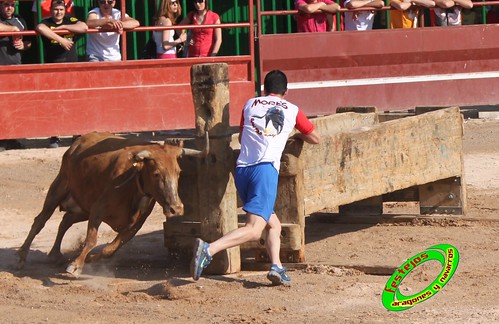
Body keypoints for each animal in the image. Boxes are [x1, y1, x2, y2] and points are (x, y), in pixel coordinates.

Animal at [17, 132, 209, 276]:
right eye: (156, 173)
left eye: (178, 172)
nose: (176, 209)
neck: (134, 180)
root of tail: (78, 142)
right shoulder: (98, 209)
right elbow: (91, 240)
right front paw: (76, 265)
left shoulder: (135, 224)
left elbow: (110, 249)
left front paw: (89, 260)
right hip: (59, 187)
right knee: (40, 220)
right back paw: (22, 256)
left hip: (82, 208)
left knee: (65, 221)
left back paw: (55, 254)